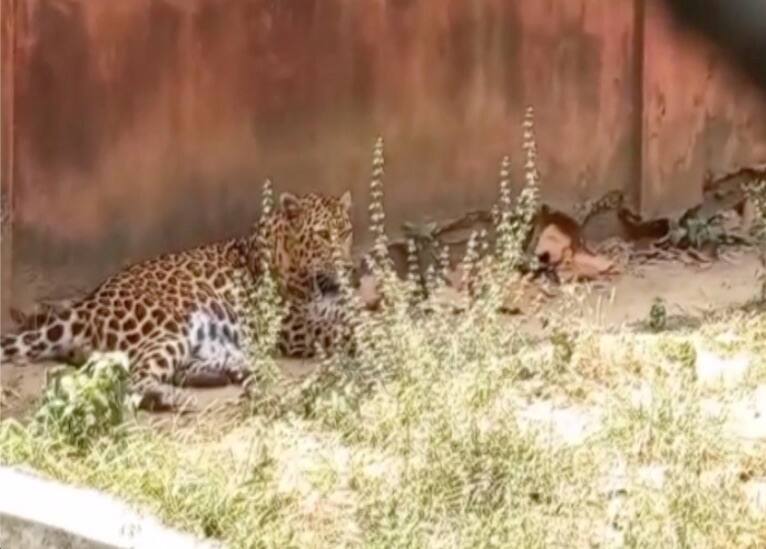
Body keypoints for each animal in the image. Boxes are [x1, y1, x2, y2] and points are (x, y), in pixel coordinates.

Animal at [1, 190, 355, 410]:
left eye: (347, 232)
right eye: (323, 235)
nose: (348, 267)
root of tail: (83, 308)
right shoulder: (295, 327)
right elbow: (345, 328)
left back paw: (230, 371)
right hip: (174, 325)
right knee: (136, 379)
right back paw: (172, 397)